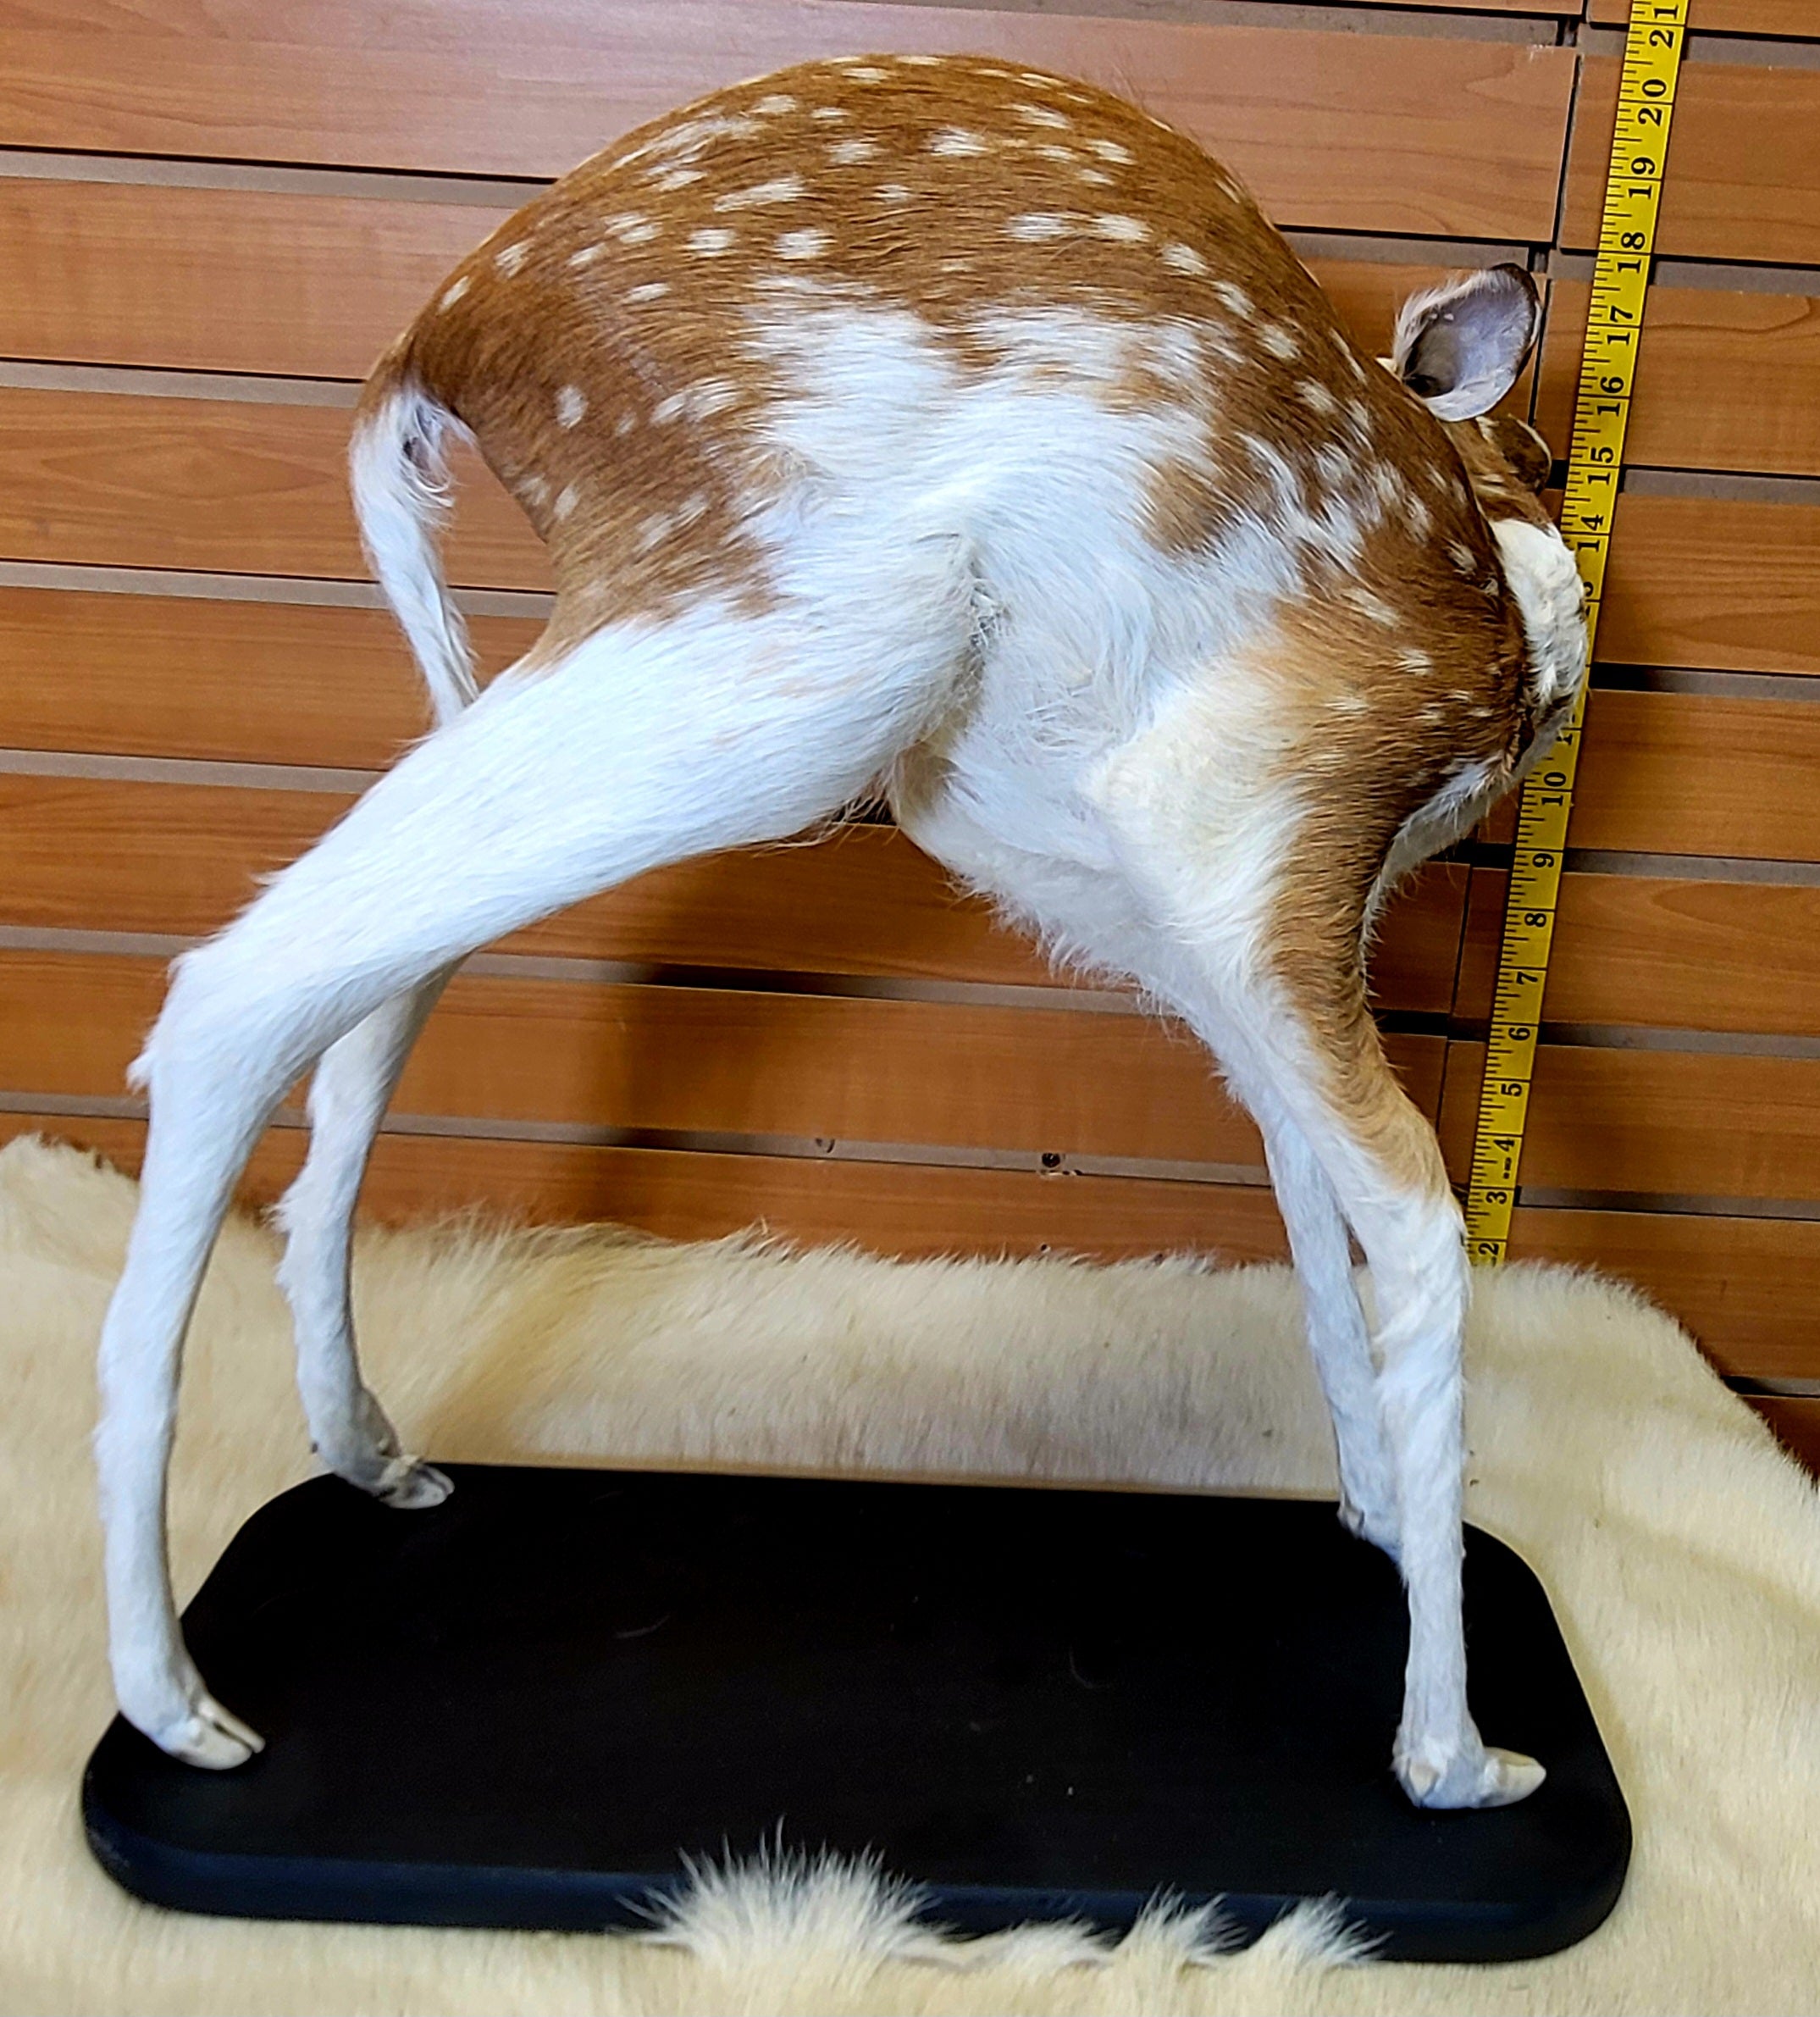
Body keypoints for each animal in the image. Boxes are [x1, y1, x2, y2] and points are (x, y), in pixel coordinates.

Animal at [94, 53, 1586, 1811]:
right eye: (1537, 451)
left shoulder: (1189, 924)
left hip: (660, 649)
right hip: (812, 647)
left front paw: (1356, 1509)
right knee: (236, 986)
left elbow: (1302, 1215)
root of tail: (438, 337)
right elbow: (1415, 1226)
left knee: (372, 974)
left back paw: (370, 1458)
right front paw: (1457, 1753)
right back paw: (176, 1704)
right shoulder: (1255, 814)